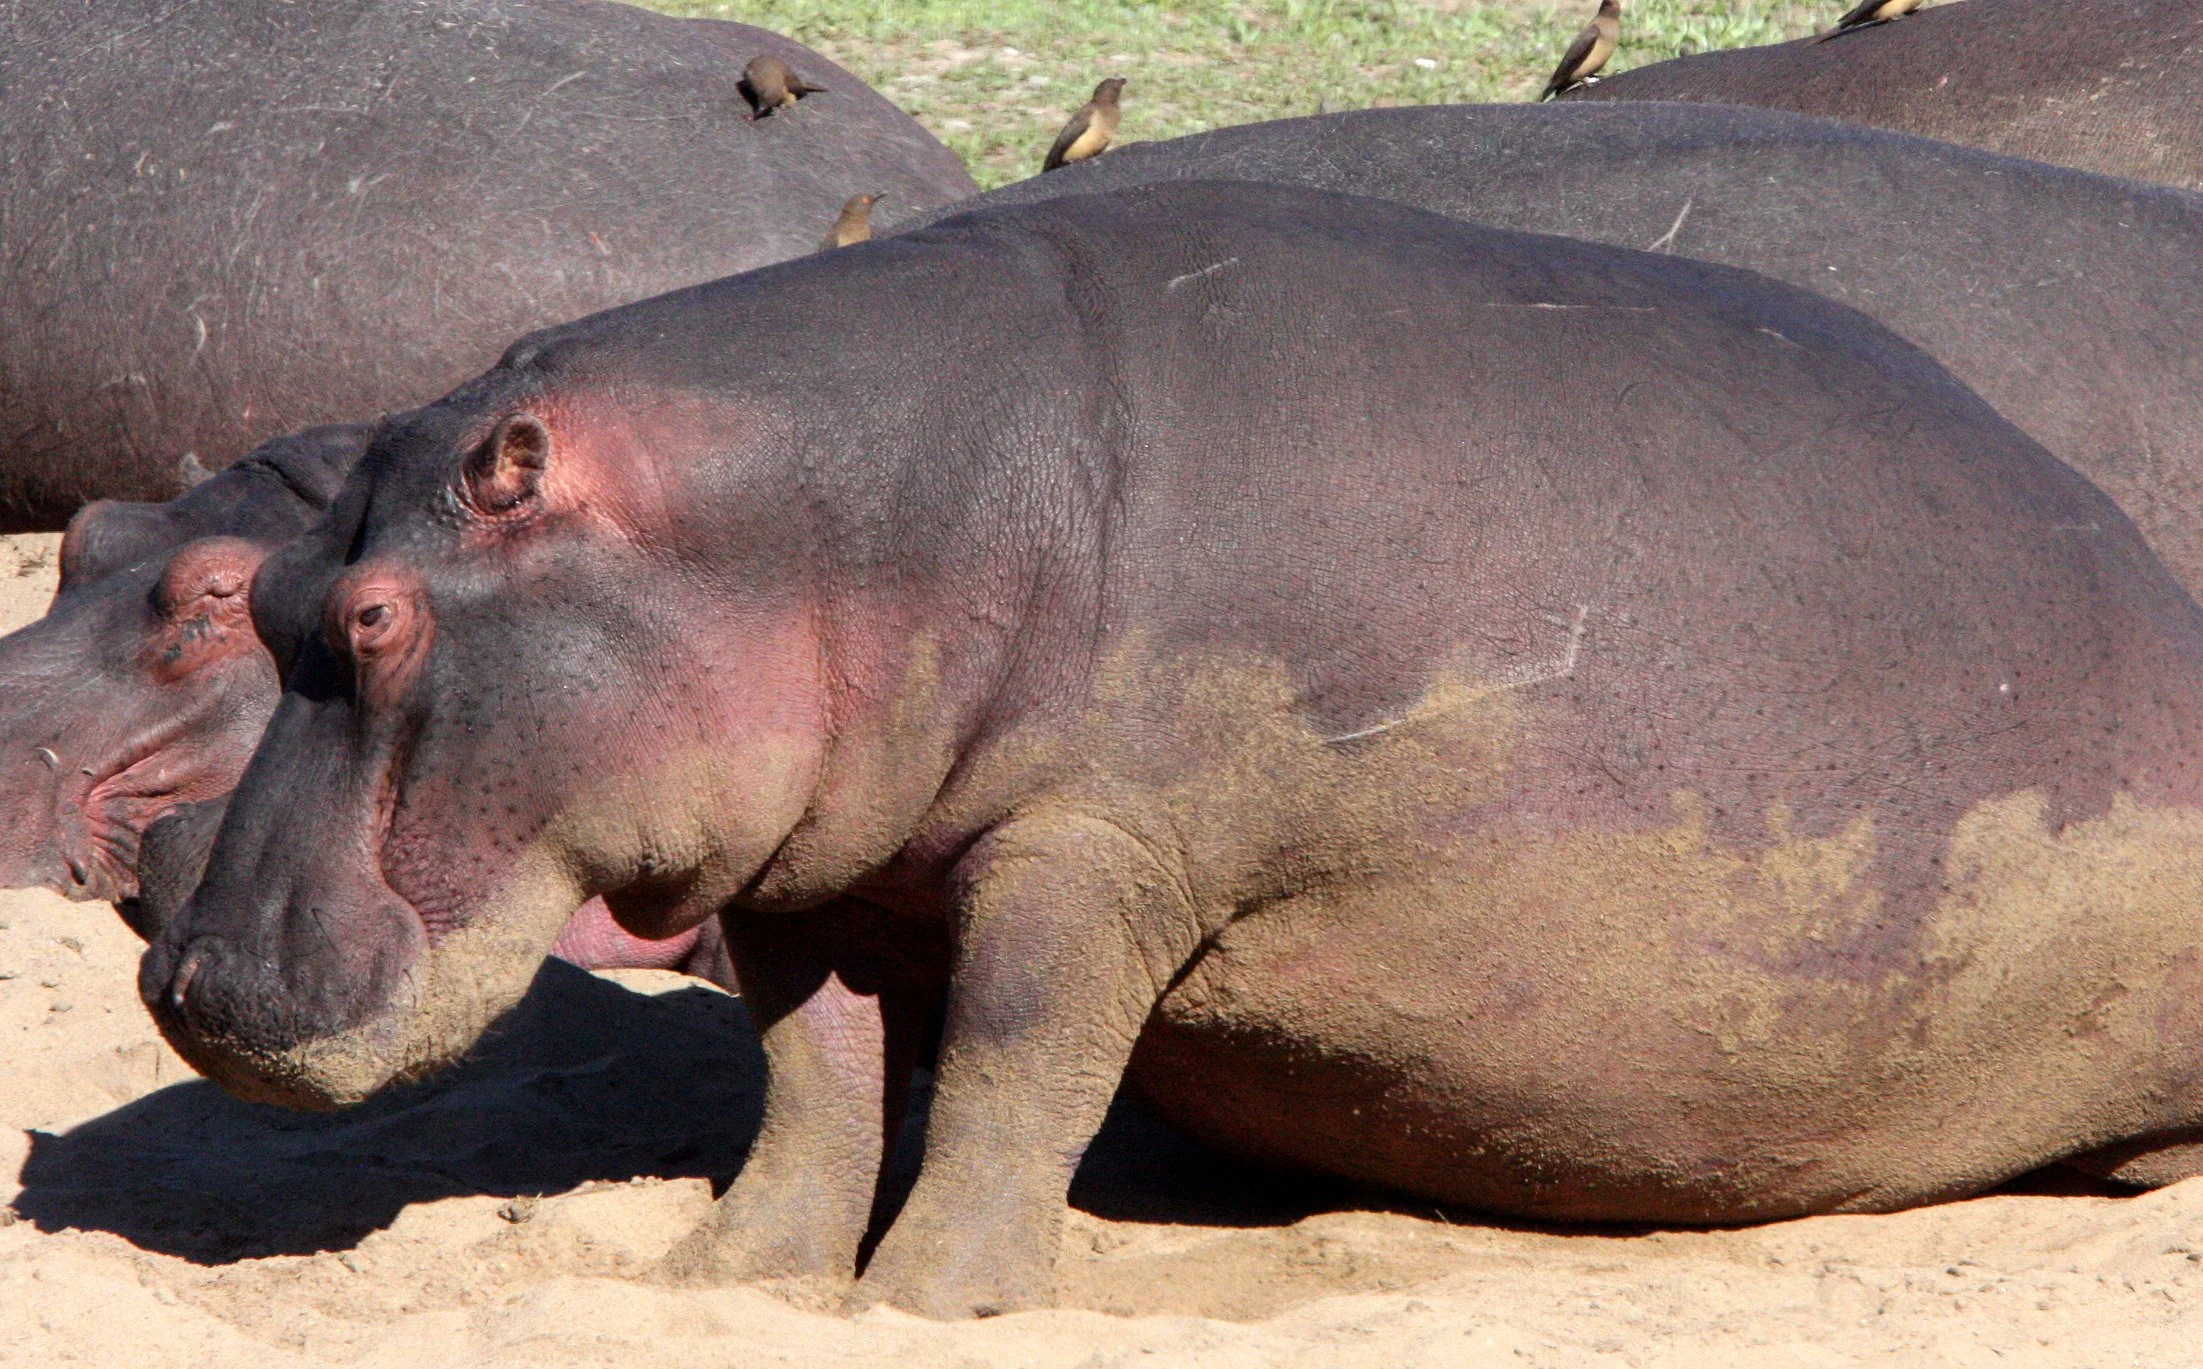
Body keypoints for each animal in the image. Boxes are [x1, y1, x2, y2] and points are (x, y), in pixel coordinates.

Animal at [145, 183, 2203, 1318]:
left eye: (374, 618)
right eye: (259, 597)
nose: (179, 971)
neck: (818, 521)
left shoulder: (1092, 850)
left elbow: (1010, 1068)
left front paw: (938, 1300)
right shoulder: (819, 870)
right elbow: (813, 1085)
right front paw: (730, 1281)